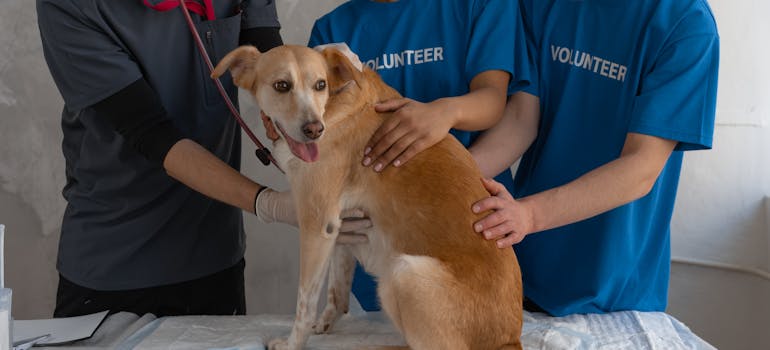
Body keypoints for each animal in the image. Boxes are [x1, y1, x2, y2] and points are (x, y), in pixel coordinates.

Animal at [210, 45, 520, 350]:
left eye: (320, 84)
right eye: (281, 86)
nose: (314, 130)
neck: (332, 107)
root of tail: (510, 339)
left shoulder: (317, 225)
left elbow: (304, 304)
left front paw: (292, 343)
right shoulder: (340, 228)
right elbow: (337, 292)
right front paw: (323, 325)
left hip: (404, 272)